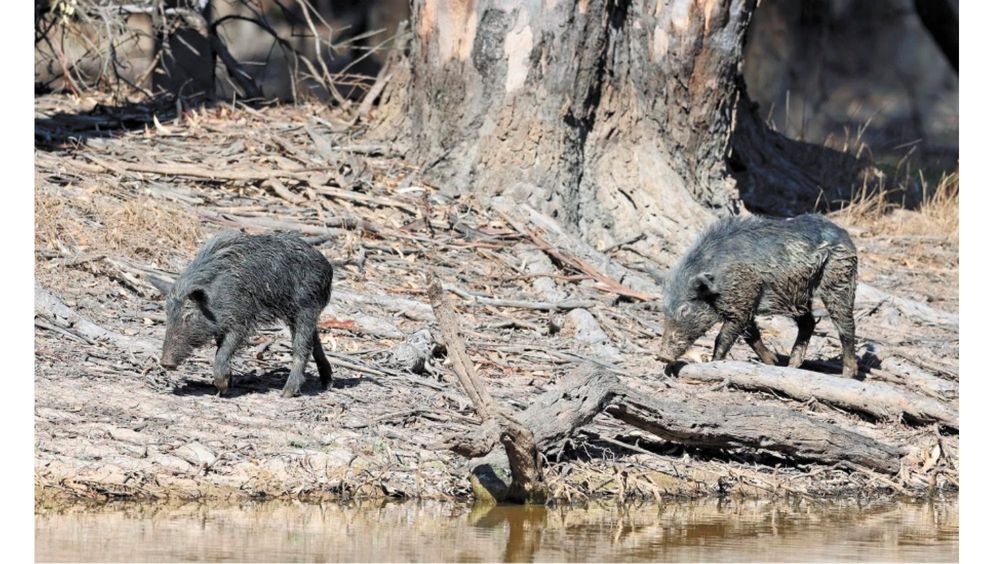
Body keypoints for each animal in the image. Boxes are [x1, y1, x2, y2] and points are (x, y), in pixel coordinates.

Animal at [149, 230, 334, 397]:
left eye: (189, 316)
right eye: (167, 314)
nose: (165, 363)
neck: (214, 297)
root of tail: (327, 266)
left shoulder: (241, 318)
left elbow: (225, 349)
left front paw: (223, 389)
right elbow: (220, 348)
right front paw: (226, 385)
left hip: (306, 307)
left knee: (302, 346)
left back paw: (286, 393)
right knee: (315, 343)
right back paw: (327, 384)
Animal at [657, 214, 858, 378]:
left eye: (684, 309)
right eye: (664, 309)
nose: (661, 356)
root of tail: (844, 233)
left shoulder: (742, 301)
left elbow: (723, 337)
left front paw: (714, 363)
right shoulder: (746, 303)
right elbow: (751, 335)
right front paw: (772, 363)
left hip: (839, 277)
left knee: (846, 324)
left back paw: (847, 375)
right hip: (798, 294)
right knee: (808, 323)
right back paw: (791, 367)